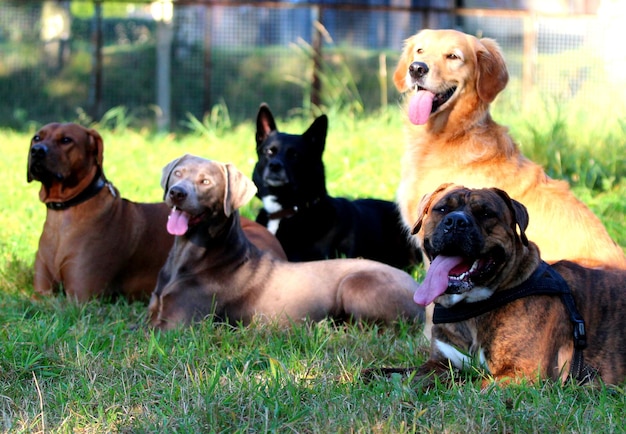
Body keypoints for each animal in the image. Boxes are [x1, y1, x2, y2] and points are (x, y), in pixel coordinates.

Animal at [26, 120, 284, 302]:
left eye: (66, 140)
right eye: (37, 137)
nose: (37, 150)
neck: (64, 214)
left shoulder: (81, 296)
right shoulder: (42, 289)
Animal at [148, 155, 422, 328]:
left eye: (205, 181)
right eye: (178, 173)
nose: (177, 192)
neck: (189, 254)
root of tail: (417, 286)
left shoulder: (175, 325)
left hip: (354, 285)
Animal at [394, 185, 620, 388]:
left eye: (486, 213)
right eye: (442, 209)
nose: (456, 221)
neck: (472, 308)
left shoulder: (521, 374)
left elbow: (465, 384)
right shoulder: (438, 363)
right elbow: (399, 374)